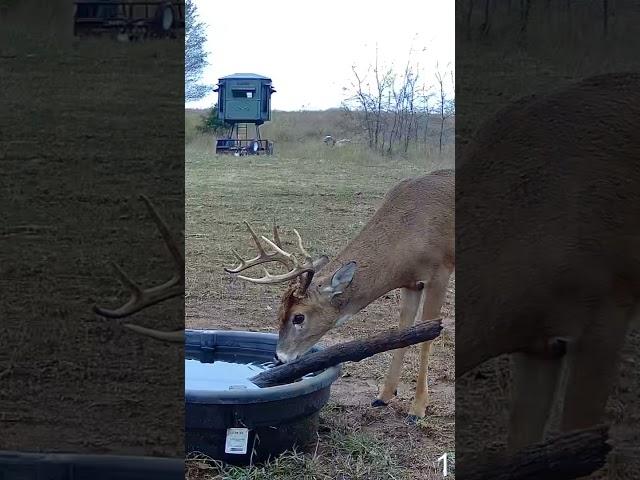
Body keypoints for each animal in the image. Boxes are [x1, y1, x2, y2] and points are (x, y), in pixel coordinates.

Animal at [225, 172, 456, 420]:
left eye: (299, 317)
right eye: (279, 312)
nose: (279, 357)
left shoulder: (440, 272)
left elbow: (427, 337)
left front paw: (417, 409)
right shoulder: (412, 283)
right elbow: (404, 332)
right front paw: (383, 396)